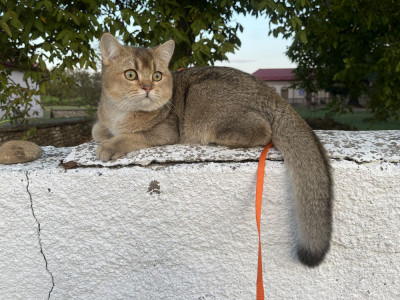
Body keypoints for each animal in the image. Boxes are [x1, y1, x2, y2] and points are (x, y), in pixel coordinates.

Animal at [93, 32, 332, 268]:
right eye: (131, 74)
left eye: (157, 76)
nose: (148, 87)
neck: (120, 112)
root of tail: (274, 96)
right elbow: (98, 130)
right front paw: (106, 134)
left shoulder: (166, 131)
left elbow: (134, 136)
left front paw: (111, 145)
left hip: (202, 95)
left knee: (264, 132)